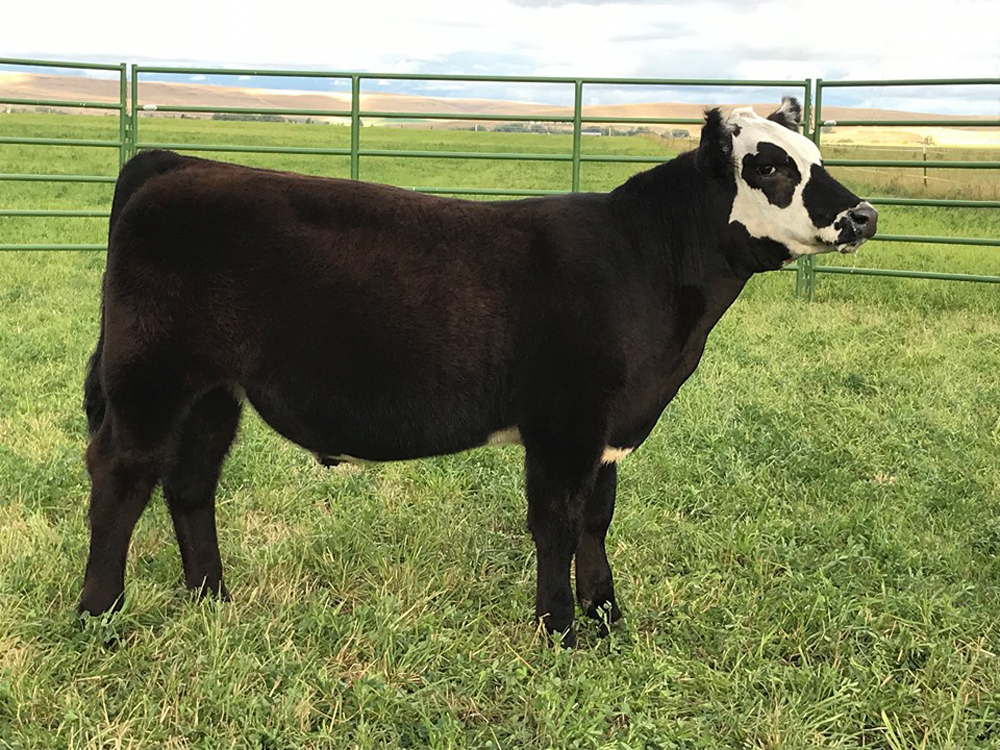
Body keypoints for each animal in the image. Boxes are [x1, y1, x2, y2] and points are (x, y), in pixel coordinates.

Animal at [79, 98, 876, 646]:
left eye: (816, 153)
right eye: (768, 165)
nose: (863, 215)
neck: (644, 264)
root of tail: (178, 164)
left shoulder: (608, 432)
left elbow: (596, 520)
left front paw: (608, 619)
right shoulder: (563, 424)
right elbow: (556, 523)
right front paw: (560, 631)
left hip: (214, 393)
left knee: (189, 483)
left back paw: (211, 599)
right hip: (150, 377)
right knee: (122, 478)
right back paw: (99, 615)